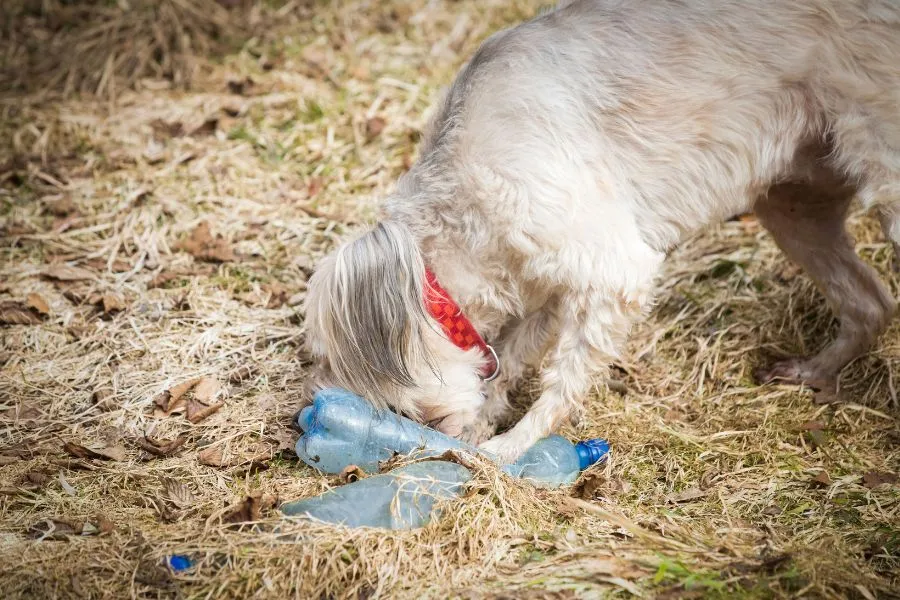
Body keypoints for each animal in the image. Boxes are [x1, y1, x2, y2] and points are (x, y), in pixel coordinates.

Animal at [304, 0, 900, 464]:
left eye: (397, 406)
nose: (427, 433)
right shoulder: (550, 288)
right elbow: (512, 358)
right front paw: (487, 420)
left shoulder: (613, 272)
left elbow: (561, 382)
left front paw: (511, 449)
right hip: (794, 210)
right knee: (870, 301)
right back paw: (814, 371)